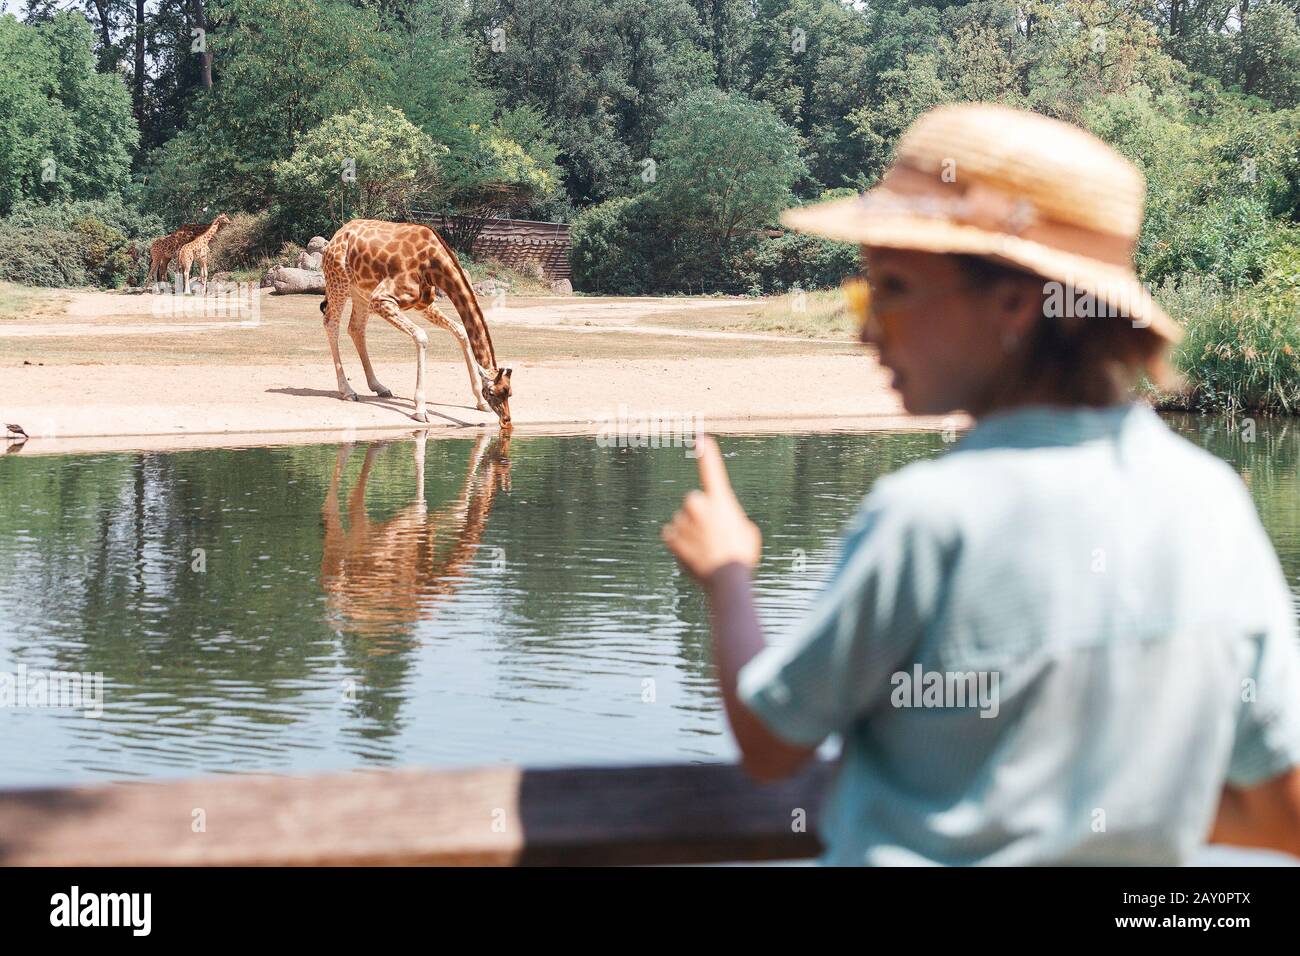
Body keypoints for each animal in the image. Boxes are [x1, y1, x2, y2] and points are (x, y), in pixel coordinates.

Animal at [319, 218, 512, 429]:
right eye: (493, 392)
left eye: (509, 392)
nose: (506, 420)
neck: (433, 264)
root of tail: (337, 235)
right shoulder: (382, 299)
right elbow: (421, 336)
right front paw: (420, 410)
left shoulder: (423, 304)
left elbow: (461, 330)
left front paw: (480, 402)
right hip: (339, 281)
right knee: (331, 323)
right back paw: (347, 391)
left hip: (360, 291)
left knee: (355, 328)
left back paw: (379, 387)